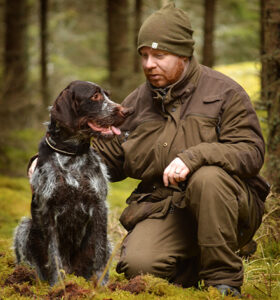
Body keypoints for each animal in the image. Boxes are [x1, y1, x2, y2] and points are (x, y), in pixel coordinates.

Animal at [13, 80, 131, 286]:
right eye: (95, 96)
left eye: (107, 95)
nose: (126, 111)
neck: (71, 154)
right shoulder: (48, 210)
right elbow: (53, 254)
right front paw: (58, 286)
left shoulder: (99, 206)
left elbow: (100, 253)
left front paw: (101, 286)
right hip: (25, 227)